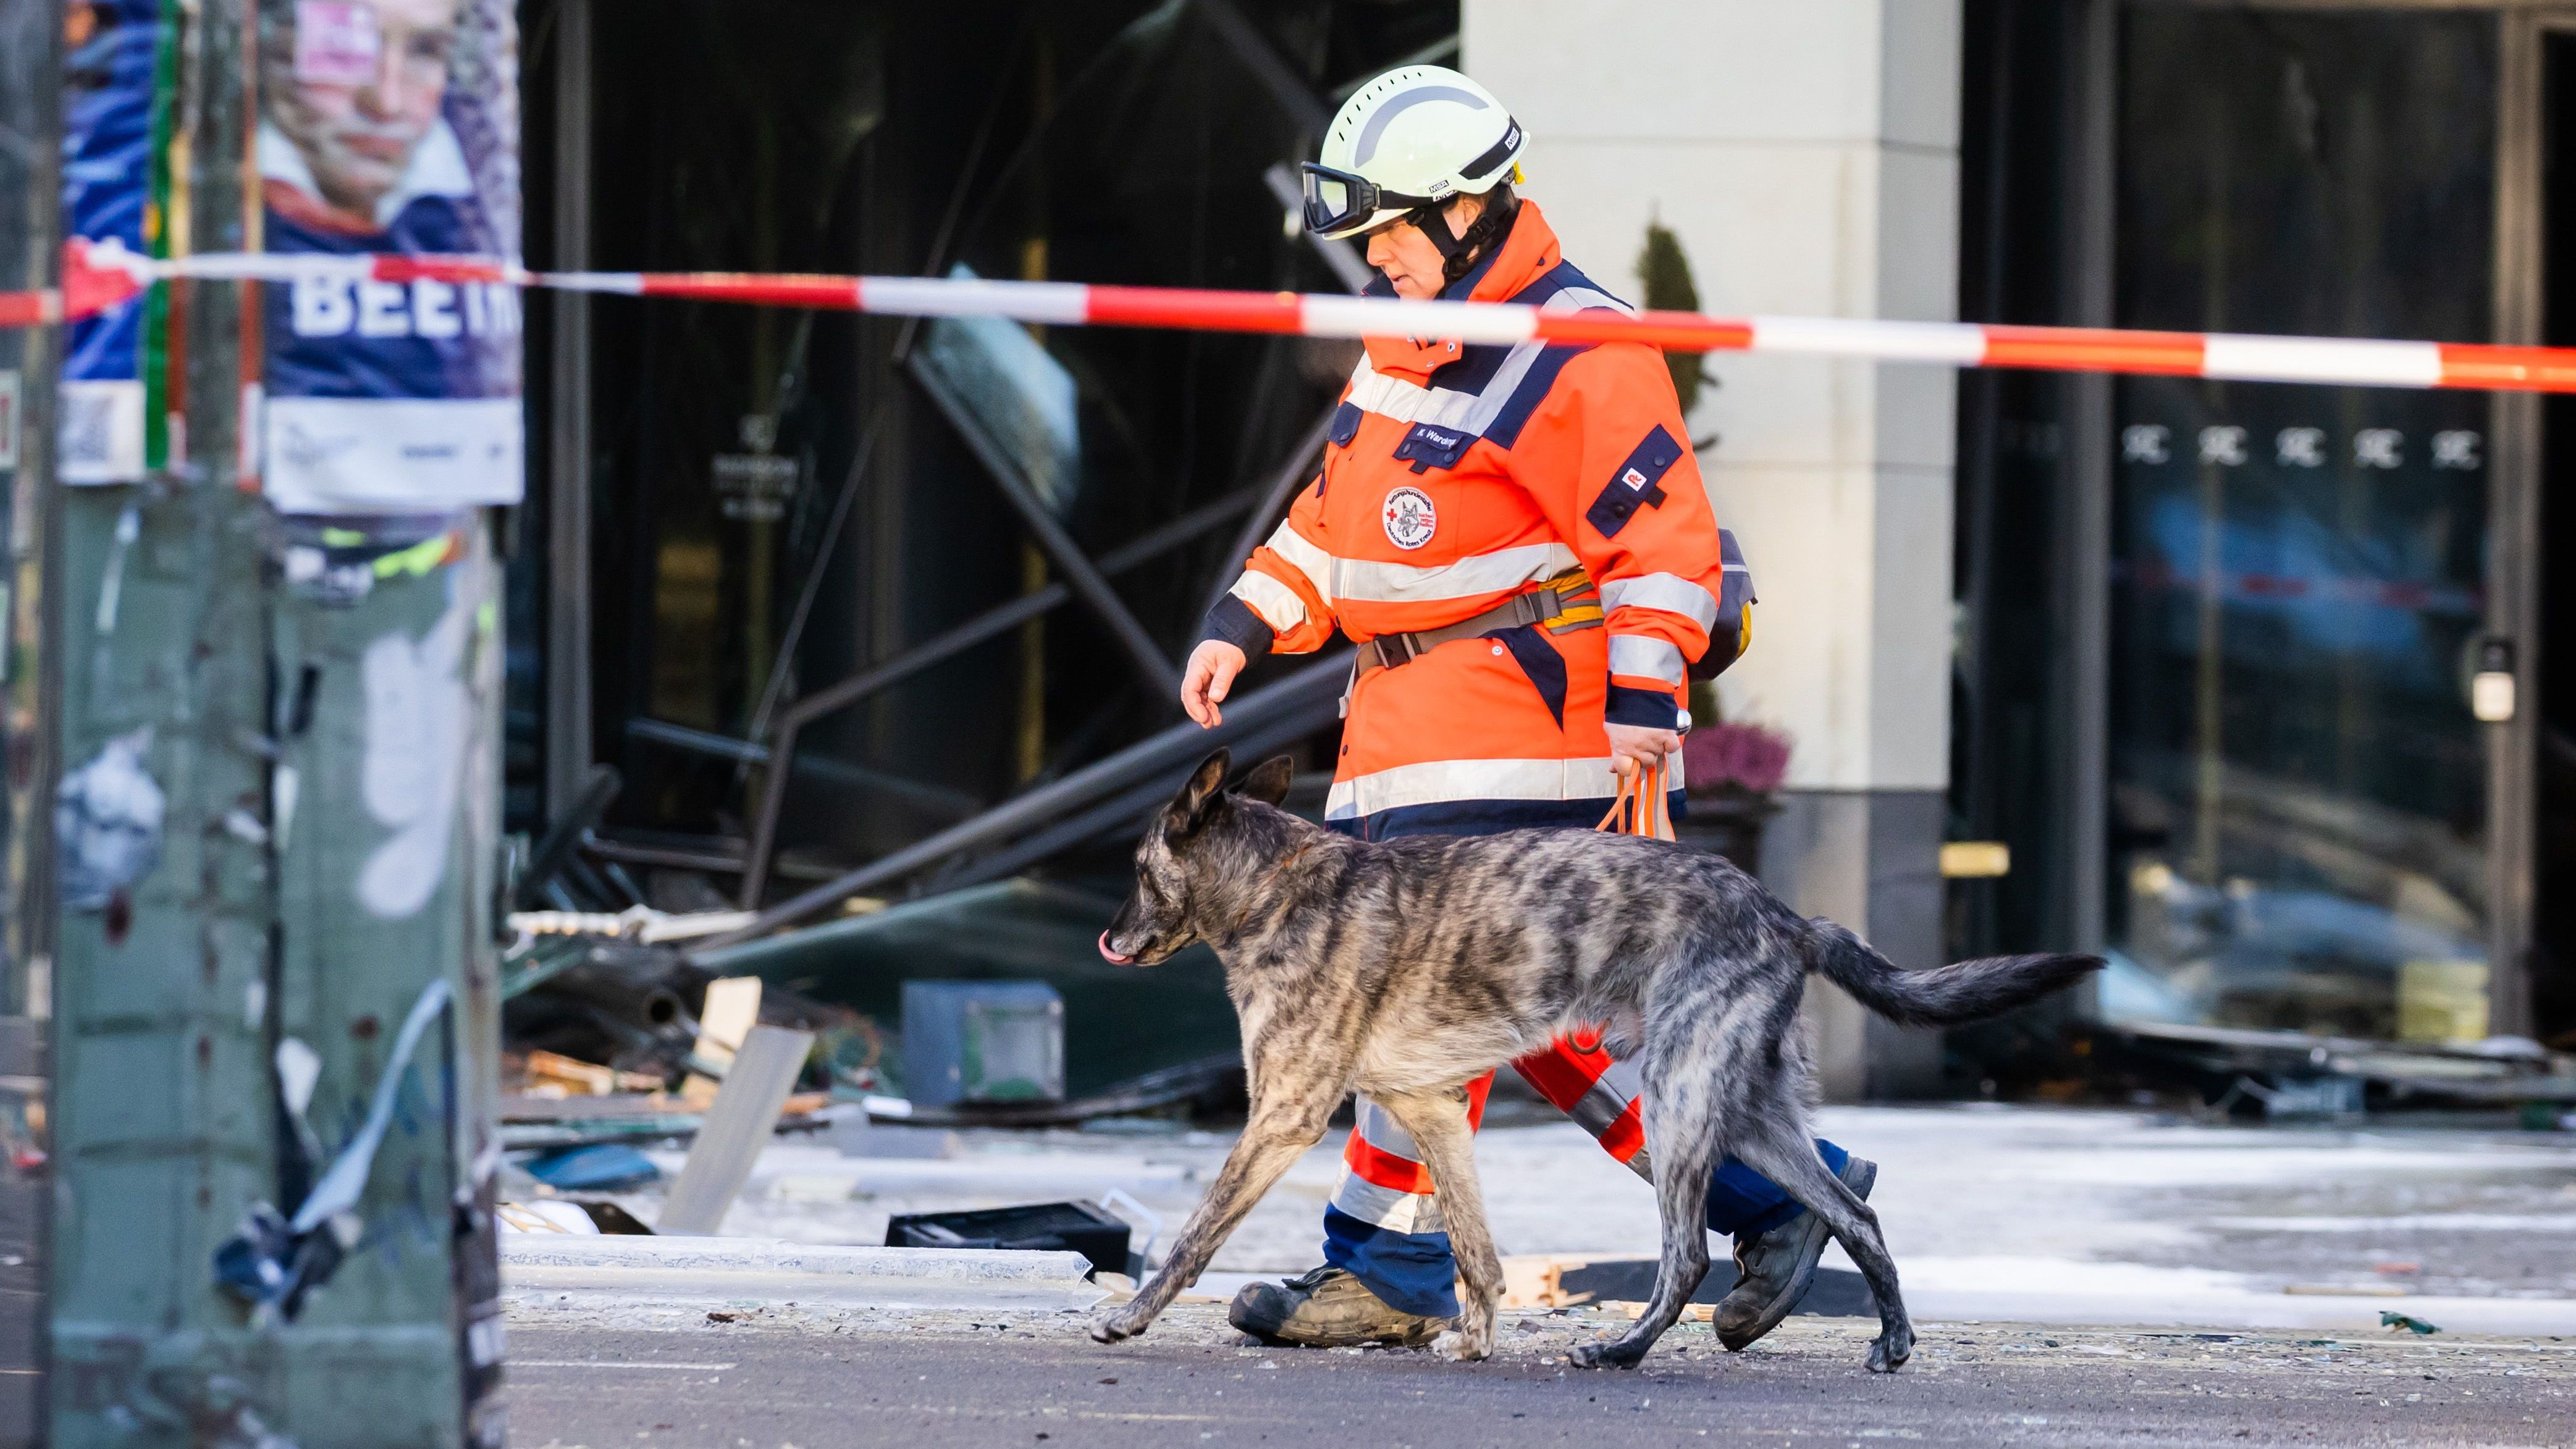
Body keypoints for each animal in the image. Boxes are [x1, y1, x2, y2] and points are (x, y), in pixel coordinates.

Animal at [1087, 757, 2092, 1379]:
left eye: (1136, 868)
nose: (1108, 940)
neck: (1272, 883)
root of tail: (1784, 916)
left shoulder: (1283, 1115)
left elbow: (1194, 1236)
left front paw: (1130, 1316)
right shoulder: (1432, 1111)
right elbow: (1476, 1251)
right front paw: (1475, 1341)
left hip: (1681, 1101)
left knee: (1689, 1253)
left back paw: (1624, 1352)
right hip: (1747, 1113)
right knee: (1854, 1210)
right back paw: (1886, 1334)